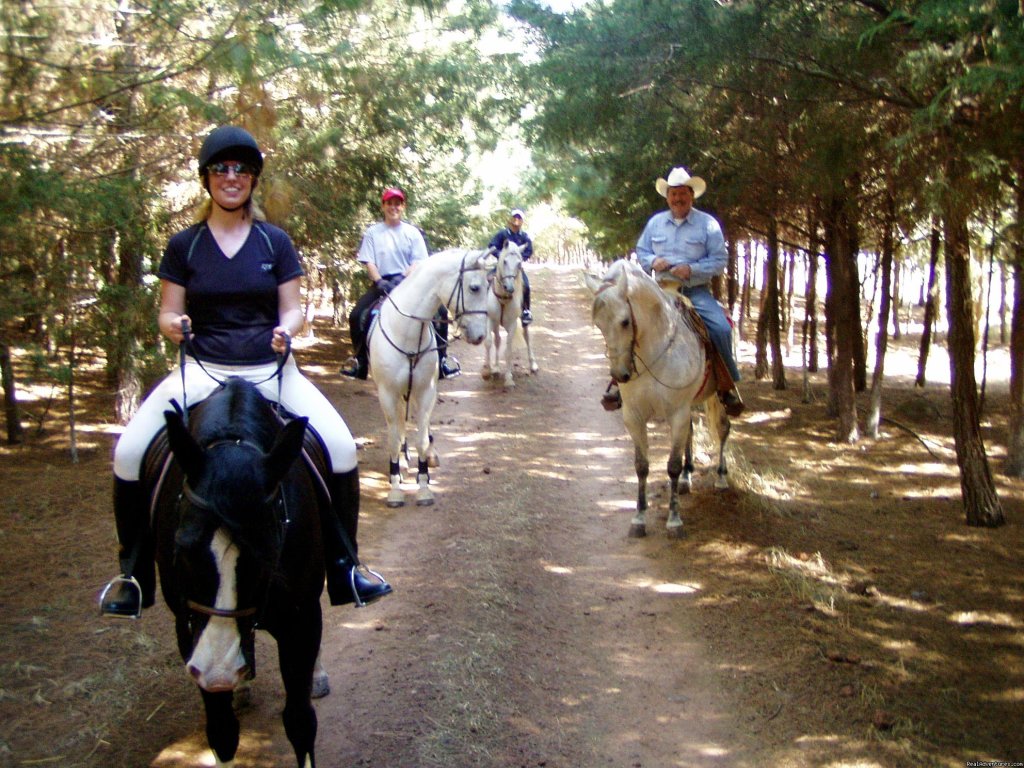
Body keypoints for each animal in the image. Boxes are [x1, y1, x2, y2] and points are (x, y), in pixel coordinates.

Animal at [149, 378, 319, 768]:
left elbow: (300, 721)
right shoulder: (187, 623)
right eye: (183, 550)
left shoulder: (302, 622)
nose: (218, 671)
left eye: (268, 557)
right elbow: (222, 731)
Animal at [368, 249, 495, 507]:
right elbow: (394, 439)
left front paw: (424, 487)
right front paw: (395, 489)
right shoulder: (387, 393)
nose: (479, 335)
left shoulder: (426, 391)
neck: (406, 331)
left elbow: (422, 440)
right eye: (475, 287)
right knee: (399, 424)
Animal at [483, 240, 540, 387]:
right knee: (497, 340)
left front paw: (508, 379)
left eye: (519, 263)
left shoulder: (512, 324)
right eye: (504, 261)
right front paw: (486, 371)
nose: (509, 287)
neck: (503, 297)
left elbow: (508, 349)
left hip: (523, 322)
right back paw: (496, 368)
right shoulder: (490, 320)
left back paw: (533, 365)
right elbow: (488, 342)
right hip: (496, 324)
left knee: (527, 338)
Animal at [585, 262, 729, 536]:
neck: (656, 353)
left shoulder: (677, 413)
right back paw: (686, 478)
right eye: (598, 324)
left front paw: (674, 520)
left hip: (716, 398)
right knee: (691, 432)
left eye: (625, 321)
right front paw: (639, 518)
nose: (620, 375)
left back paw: (721, 477)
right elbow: (641, 466)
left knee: (723, 429)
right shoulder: (634, 417)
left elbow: (671, 466)